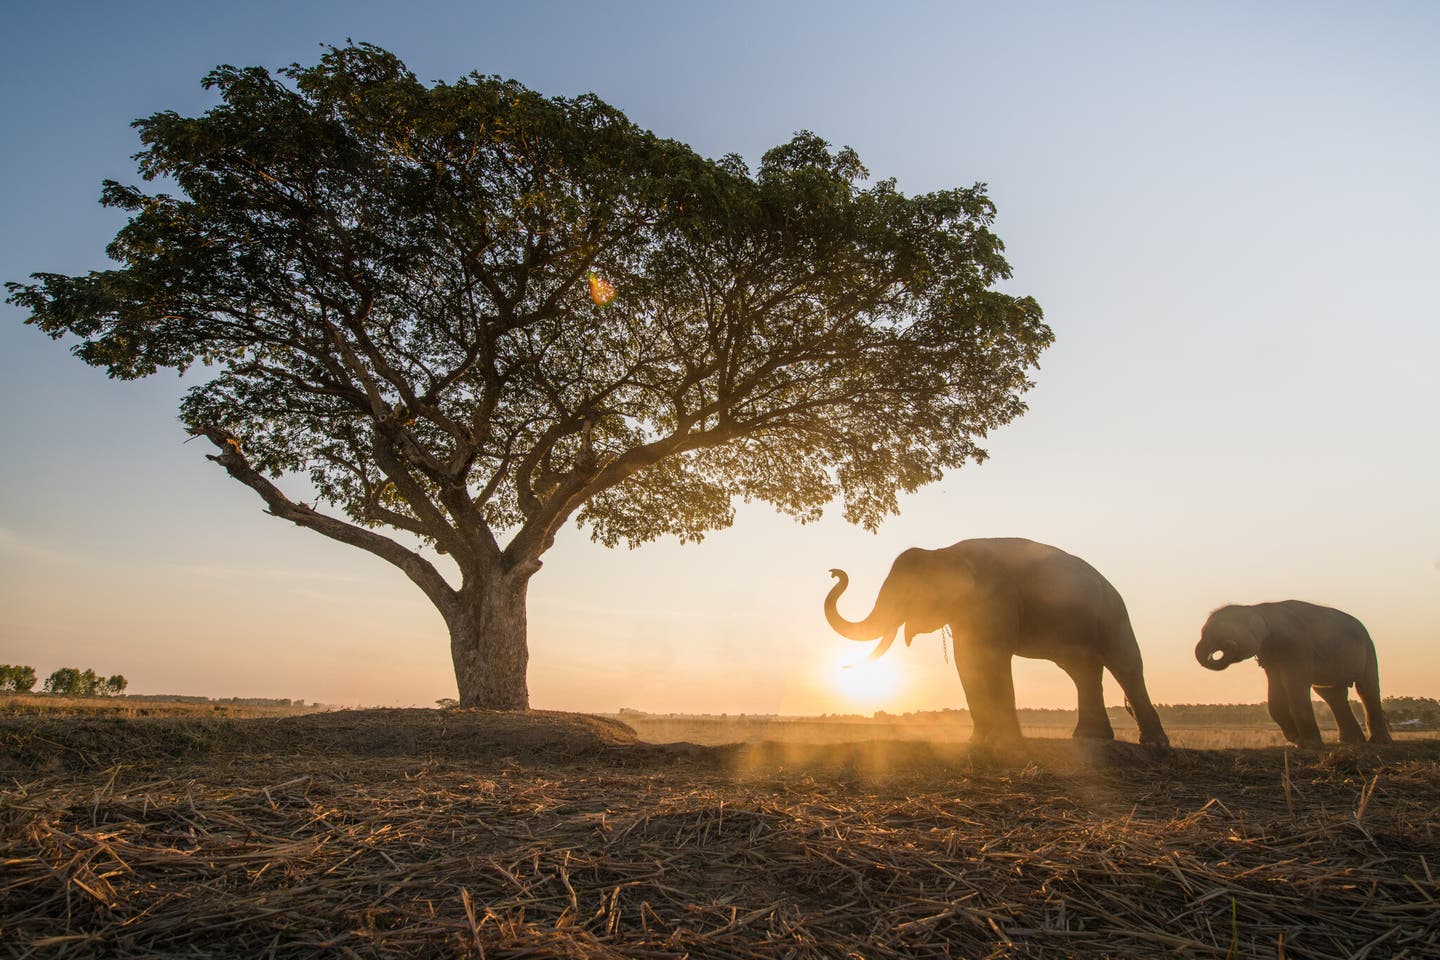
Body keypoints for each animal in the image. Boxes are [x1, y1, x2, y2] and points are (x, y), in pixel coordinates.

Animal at [823, 538, 1169, 748]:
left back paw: (1153, 743)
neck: (945, 551)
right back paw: (1090, 738)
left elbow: (994, 657)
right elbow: (967, 660)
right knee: (1083, 673)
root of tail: (1109, 583)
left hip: (1113, 616)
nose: (834, 572)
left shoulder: (996, 599)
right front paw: (978, 741)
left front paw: (1004, 742)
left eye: (907, 595)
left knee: (1125, 665)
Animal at [1198, 601, 1388, 748]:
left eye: (1219, 632)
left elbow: (1295, 684)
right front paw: (1295, 739)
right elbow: (1275, 692)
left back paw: (1379, 742)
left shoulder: (1296, 647)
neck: (1258, 609)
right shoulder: (1270, 657)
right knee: (1331, 693)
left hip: (1369, 650)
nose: (1228, 645)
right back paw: (1350, 741)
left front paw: (1307, 744)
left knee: (1366, 688)